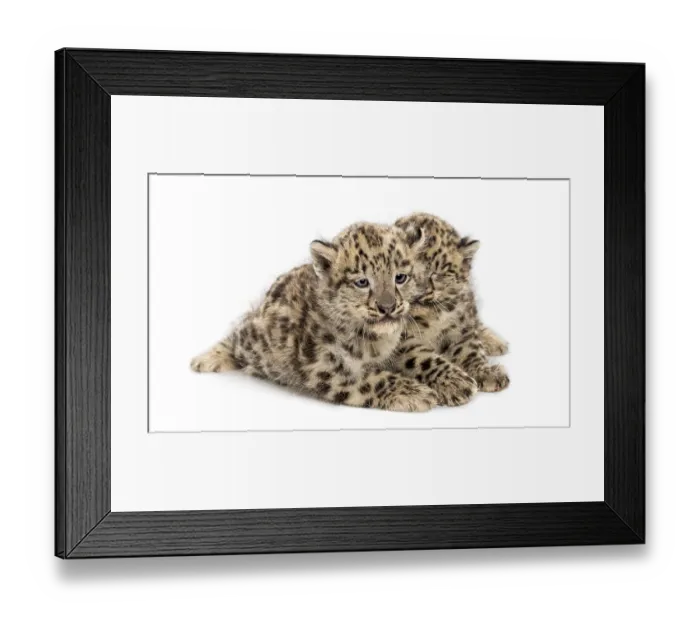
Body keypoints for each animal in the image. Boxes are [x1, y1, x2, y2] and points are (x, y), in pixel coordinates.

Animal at [190, 222, 439, 412]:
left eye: (400, 277)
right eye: (362, 282)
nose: (387, 307)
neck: (377, 342)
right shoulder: (323, 364)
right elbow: (373, 380)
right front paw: (416, 393)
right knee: (237, 335)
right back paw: (206, 359)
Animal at [392, 213, 510, 406]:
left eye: (439, 272)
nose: (421, 291)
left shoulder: (462, 326)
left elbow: (470, 350)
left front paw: (487, 373)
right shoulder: (399, 342)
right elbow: (422, 358)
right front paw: (456, 383)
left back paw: (495, 341)